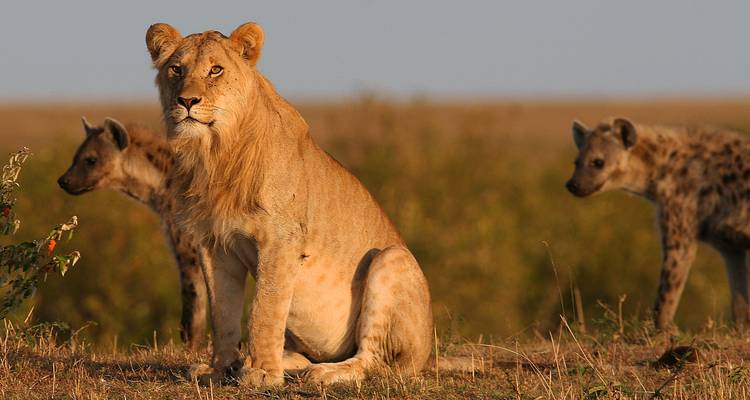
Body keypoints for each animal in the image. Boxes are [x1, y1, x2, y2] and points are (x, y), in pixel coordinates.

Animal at [145, 22, 434, 386]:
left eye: (215, 70)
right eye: (176, 69)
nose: (186, 100)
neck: (216, 153)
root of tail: (428, 357)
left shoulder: (280, 240)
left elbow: (264, 310)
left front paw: (261, 373)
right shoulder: (214, 245)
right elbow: (222, 313)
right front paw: (220, 369)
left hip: (391, 259)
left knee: (372, 361)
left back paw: (323, 372)